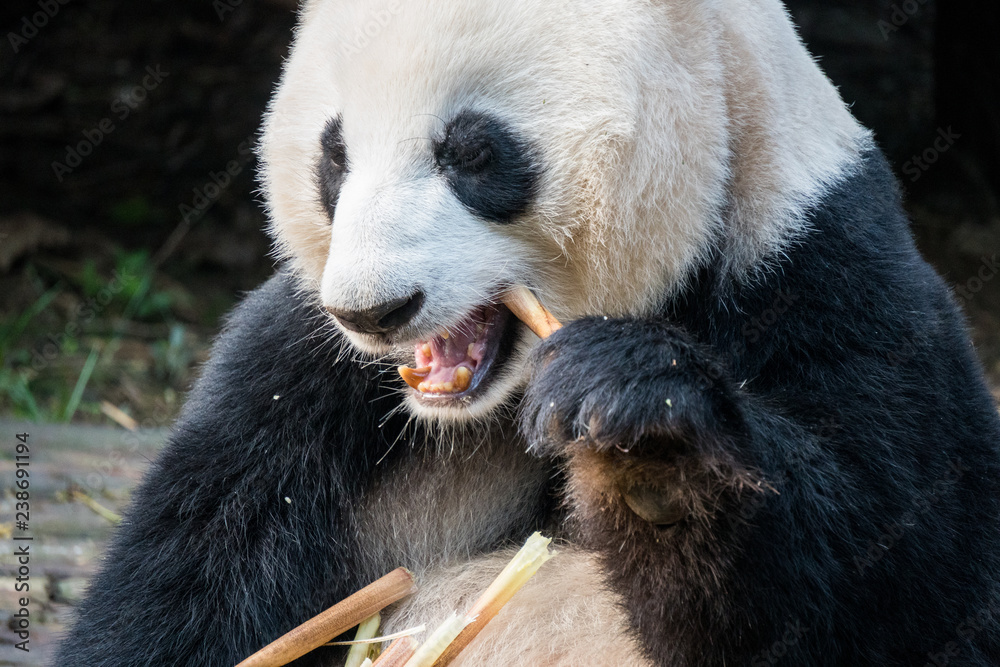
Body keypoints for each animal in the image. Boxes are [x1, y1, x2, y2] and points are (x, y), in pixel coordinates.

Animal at [57, 0, 1000, 665]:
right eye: (334, 155)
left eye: (470, 151)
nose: (372, 309)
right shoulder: (304, 380)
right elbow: (192, 572)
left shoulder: (821, 269)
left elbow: (898, 585)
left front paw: (648, 440)